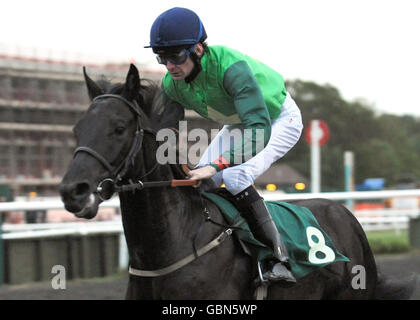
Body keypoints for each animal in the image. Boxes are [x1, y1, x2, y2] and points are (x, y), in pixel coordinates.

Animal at [57, 65, 416, 300]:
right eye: (76, 128)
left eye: (119, 128)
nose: (73, 191)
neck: (170, 248)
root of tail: (344, 214)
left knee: (237, 174)